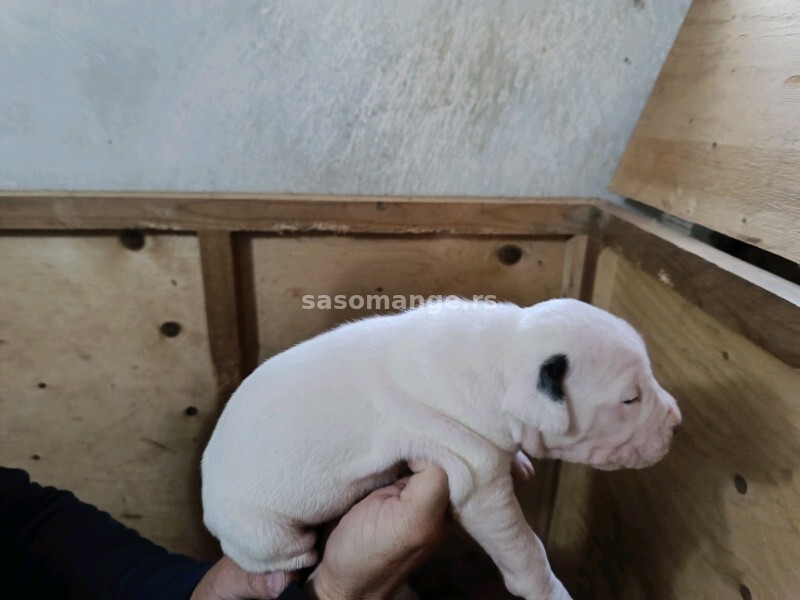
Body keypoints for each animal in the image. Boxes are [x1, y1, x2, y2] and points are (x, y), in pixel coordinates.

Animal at [200, 298, 680, 596]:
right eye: (630, 399)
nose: (677, 423)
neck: (502, 353)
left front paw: (521, 461)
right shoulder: (479, 481)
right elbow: (524, 546)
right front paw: (548, 590)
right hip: (262, 532)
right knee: (280, 552)